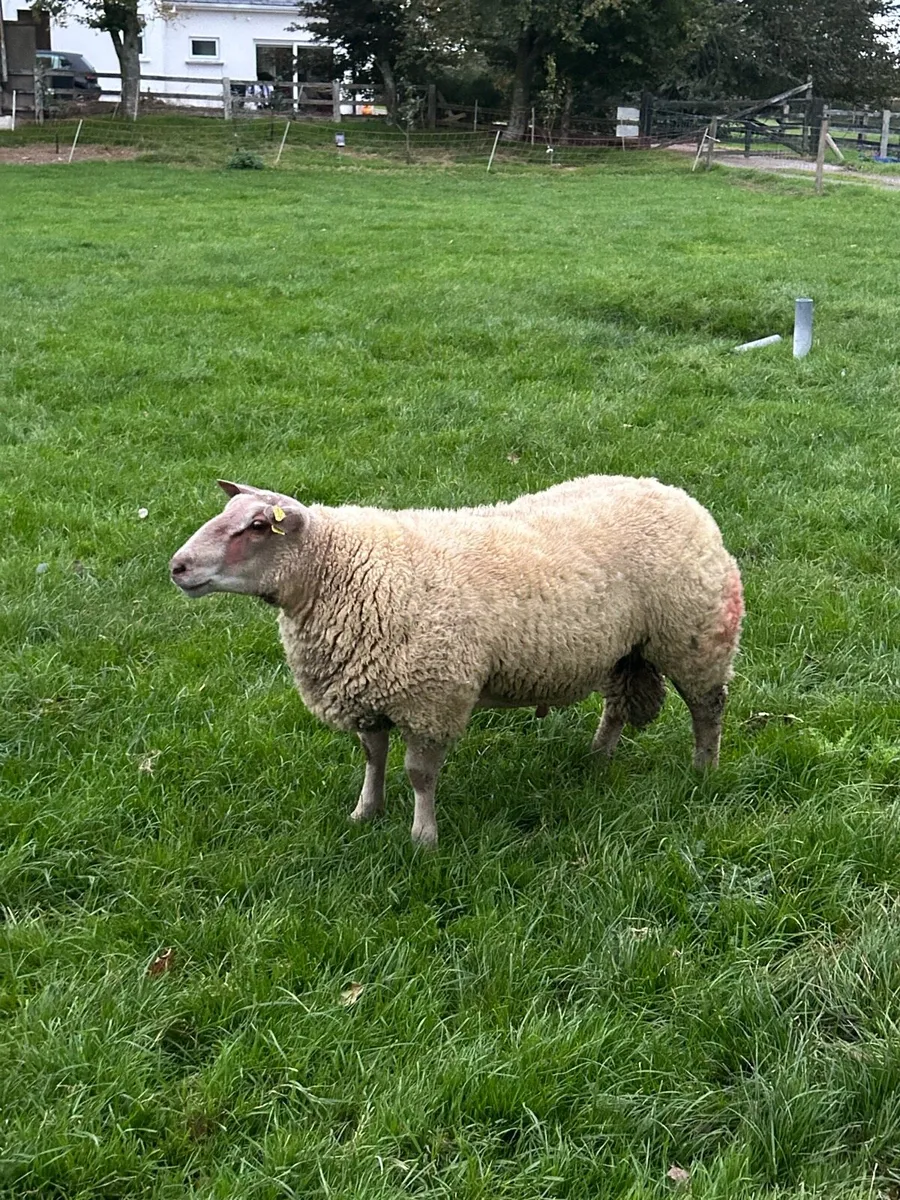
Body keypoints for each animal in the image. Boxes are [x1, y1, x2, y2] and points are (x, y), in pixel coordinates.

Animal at [170, 476, 743, 847]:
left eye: (257, 526)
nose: (177, 567)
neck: (342, 568)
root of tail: (675, 493)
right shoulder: (368, 692)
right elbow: (373, 759)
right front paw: (365, 813)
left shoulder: (432, 698)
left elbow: (419, 775)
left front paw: (423, 838)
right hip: (625, 649)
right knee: (619, 706)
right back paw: (598, 757)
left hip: (696, 635)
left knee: (708, 708)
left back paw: (704, 770)